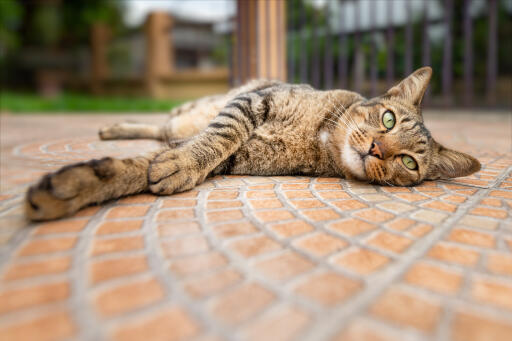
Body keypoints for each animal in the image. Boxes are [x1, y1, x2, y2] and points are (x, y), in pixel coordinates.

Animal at [24, 66, 480, 220]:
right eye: (388, 118)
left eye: (409, 163)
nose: (376, 150)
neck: (320, 135)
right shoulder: (255, 101)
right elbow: (219, 133)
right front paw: (183, 163)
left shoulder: (243, 157)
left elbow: (141, 165)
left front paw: (76, 187)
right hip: (195, 109)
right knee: (164, 125)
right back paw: (115, 127)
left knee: (165, 133)